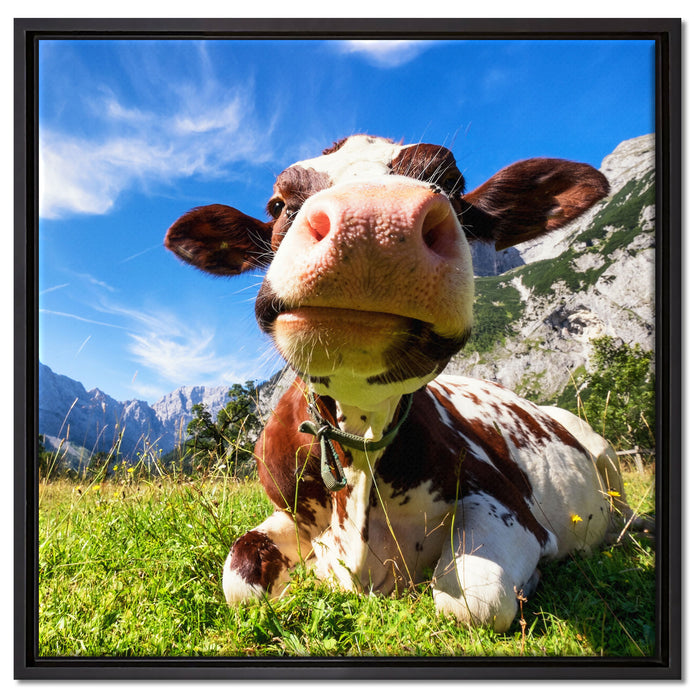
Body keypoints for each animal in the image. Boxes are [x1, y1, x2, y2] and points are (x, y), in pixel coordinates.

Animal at [165, 134, 636, 632]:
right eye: (277, 204)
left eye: (452, 183)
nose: (373, 221)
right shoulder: (287, 512)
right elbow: (240, 577)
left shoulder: (509, 504)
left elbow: (473, 600)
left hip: (603, 453)